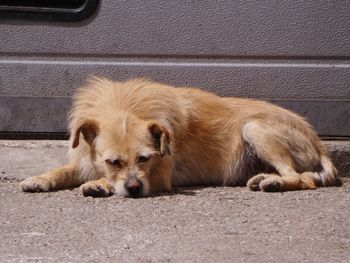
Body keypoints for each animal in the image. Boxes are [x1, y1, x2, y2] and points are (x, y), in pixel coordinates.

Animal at [19, 78, 342, 198]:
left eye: (145, 159)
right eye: (113, 161)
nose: (135, 189)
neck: (124, 106)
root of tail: (318, 143)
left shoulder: (159, 175)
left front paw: (99, 184)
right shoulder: (85, 159)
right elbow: (63, 171)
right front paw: (40, 179)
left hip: (254, 127)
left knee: (302, 179)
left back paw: (274, 182)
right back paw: (266, 178)